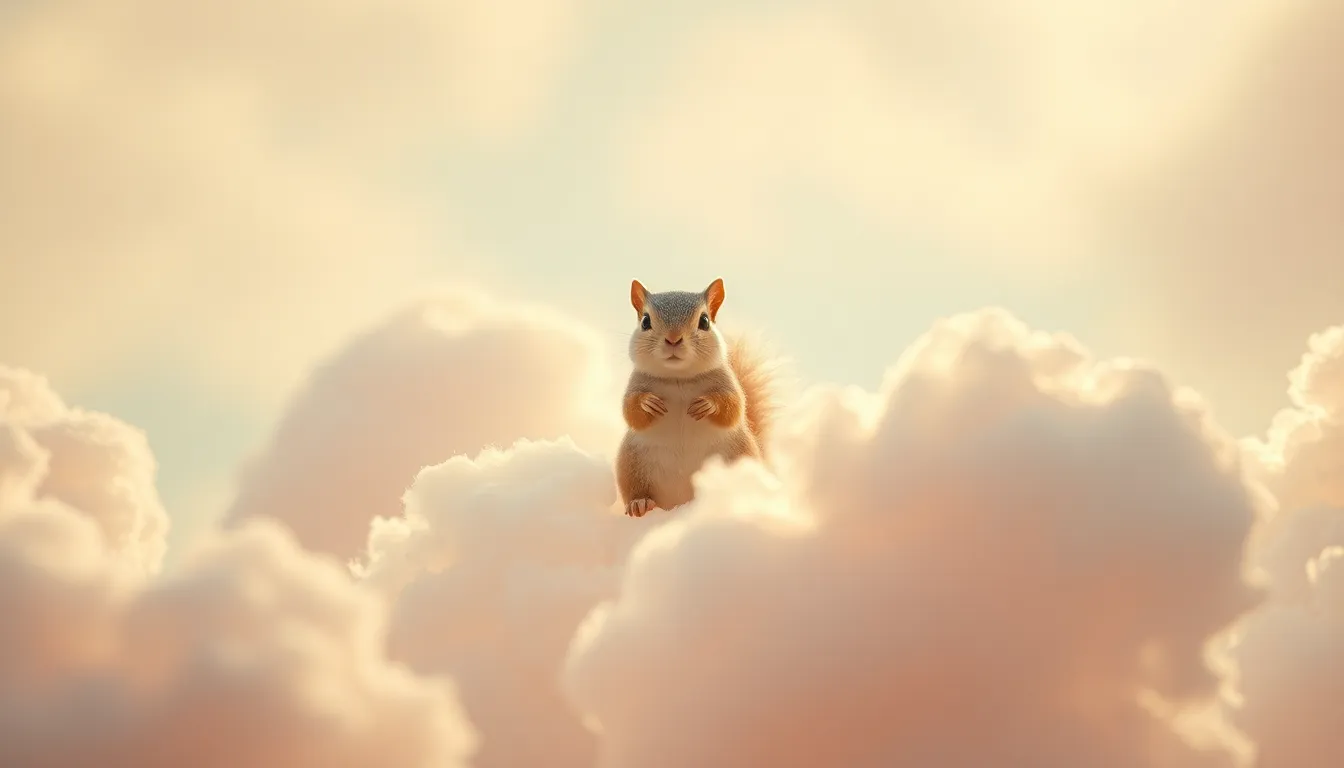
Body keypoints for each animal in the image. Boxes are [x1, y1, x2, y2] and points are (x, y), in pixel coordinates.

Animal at [616, 277, 776, 517]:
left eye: (705, 321)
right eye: (645, 321)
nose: (673, 339)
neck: (679, 378)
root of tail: (679, 503)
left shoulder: (729, 384)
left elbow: (733, 408)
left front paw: (707, 405)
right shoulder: (635, 385)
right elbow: (631, 412)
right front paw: (647, 403)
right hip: (631, 465)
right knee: (635, 490)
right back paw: (640, 503)